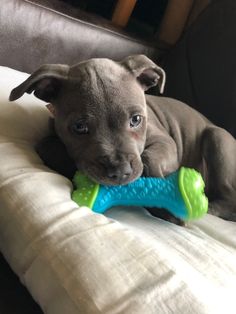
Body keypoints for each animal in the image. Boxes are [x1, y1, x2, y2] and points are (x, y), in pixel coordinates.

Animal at [10, 55, 236, 221]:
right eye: (79, 127)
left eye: (136, 120)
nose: (120, 172)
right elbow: (46, 145)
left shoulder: (166, 141)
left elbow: (149, 157)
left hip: (217, 136)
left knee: (228, 199)